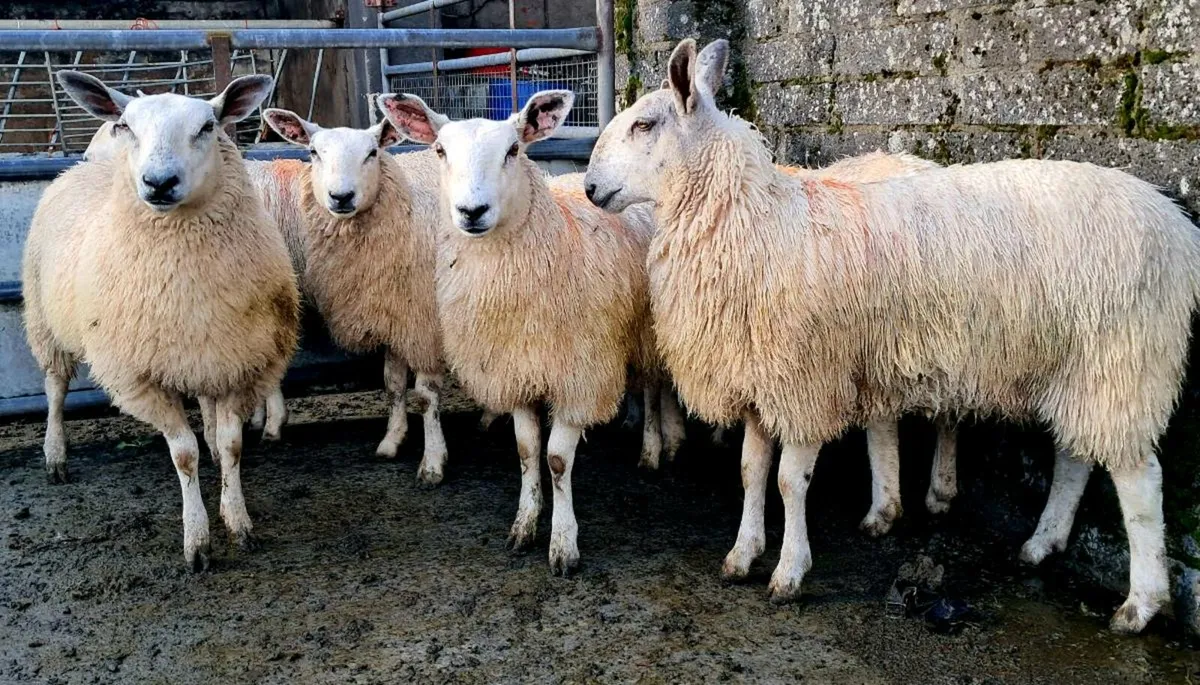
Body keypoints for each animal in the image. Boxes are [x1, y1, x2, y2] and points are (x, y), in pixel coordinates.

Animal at [23, 71, 299, 569]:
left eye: (208, 126)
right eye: (128, 126)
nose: (158, 182)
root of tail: (91, 165)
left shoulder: (238, 363)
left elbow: (231, 444)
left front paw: (238, 520)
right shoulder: (143, 378)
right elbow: (183, 455)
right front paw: (198, 540)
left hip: (203, 355)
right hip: (43, 320)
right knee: (54, 387)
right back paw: (55, 455)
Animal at [259, 109, 450, 484]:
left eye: (372, 153)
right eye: (314, 152)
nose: (341, 196)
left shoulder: (423, 324)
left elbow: (426, 395)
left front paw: (433, 462)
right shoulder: (391, 313)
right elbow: (392, 384)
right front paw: (392, 440)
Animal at [378, 90, 656, 574]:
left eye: (513, 150)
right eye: (440, 151)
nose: (472, 211)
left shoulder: (575, 376)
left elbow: (557, 460)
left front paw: (563, 544)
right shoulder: (517, 371)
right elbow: (527, 452)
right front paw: (525, 525)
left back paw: (656, 448)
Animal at [583, 38, 1200, 634]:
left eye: (645, 125)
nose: (588, 187)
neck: (756, 221)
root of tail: (1176, 226)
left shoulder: (808, 379)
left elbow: (790, 481)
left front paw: (789, 572)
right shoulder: (761, 376)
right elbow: (750, 471)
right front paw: (742, 555)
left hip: (1124, 357)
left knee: (1140, 482)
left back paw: (1140, 606)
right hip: (1079, 364)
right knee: (1075, 456)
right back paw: (1040, 545)